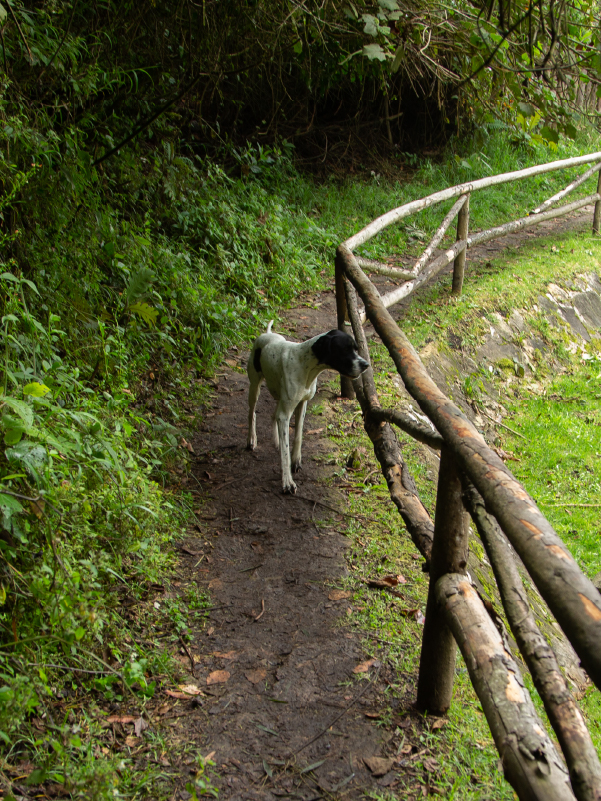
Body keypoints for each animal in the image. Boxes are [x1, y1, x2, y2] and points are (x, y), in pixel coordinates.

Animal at [246, 322, 368, 490]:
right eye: (344, 350)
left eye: (356, 348)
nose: (366, 364)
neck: (304, 365)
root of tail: (267, 334)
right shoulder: (286, 414)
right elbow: (285, 451)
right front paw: (287, 481)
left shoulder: (302, 404)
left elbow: (298, 436)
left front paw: (295, 460)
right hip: (254, 387)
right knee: (252, 414)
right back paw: (251, 439)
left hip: (279, 395)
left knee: (273, 415)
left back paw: (276, 440)